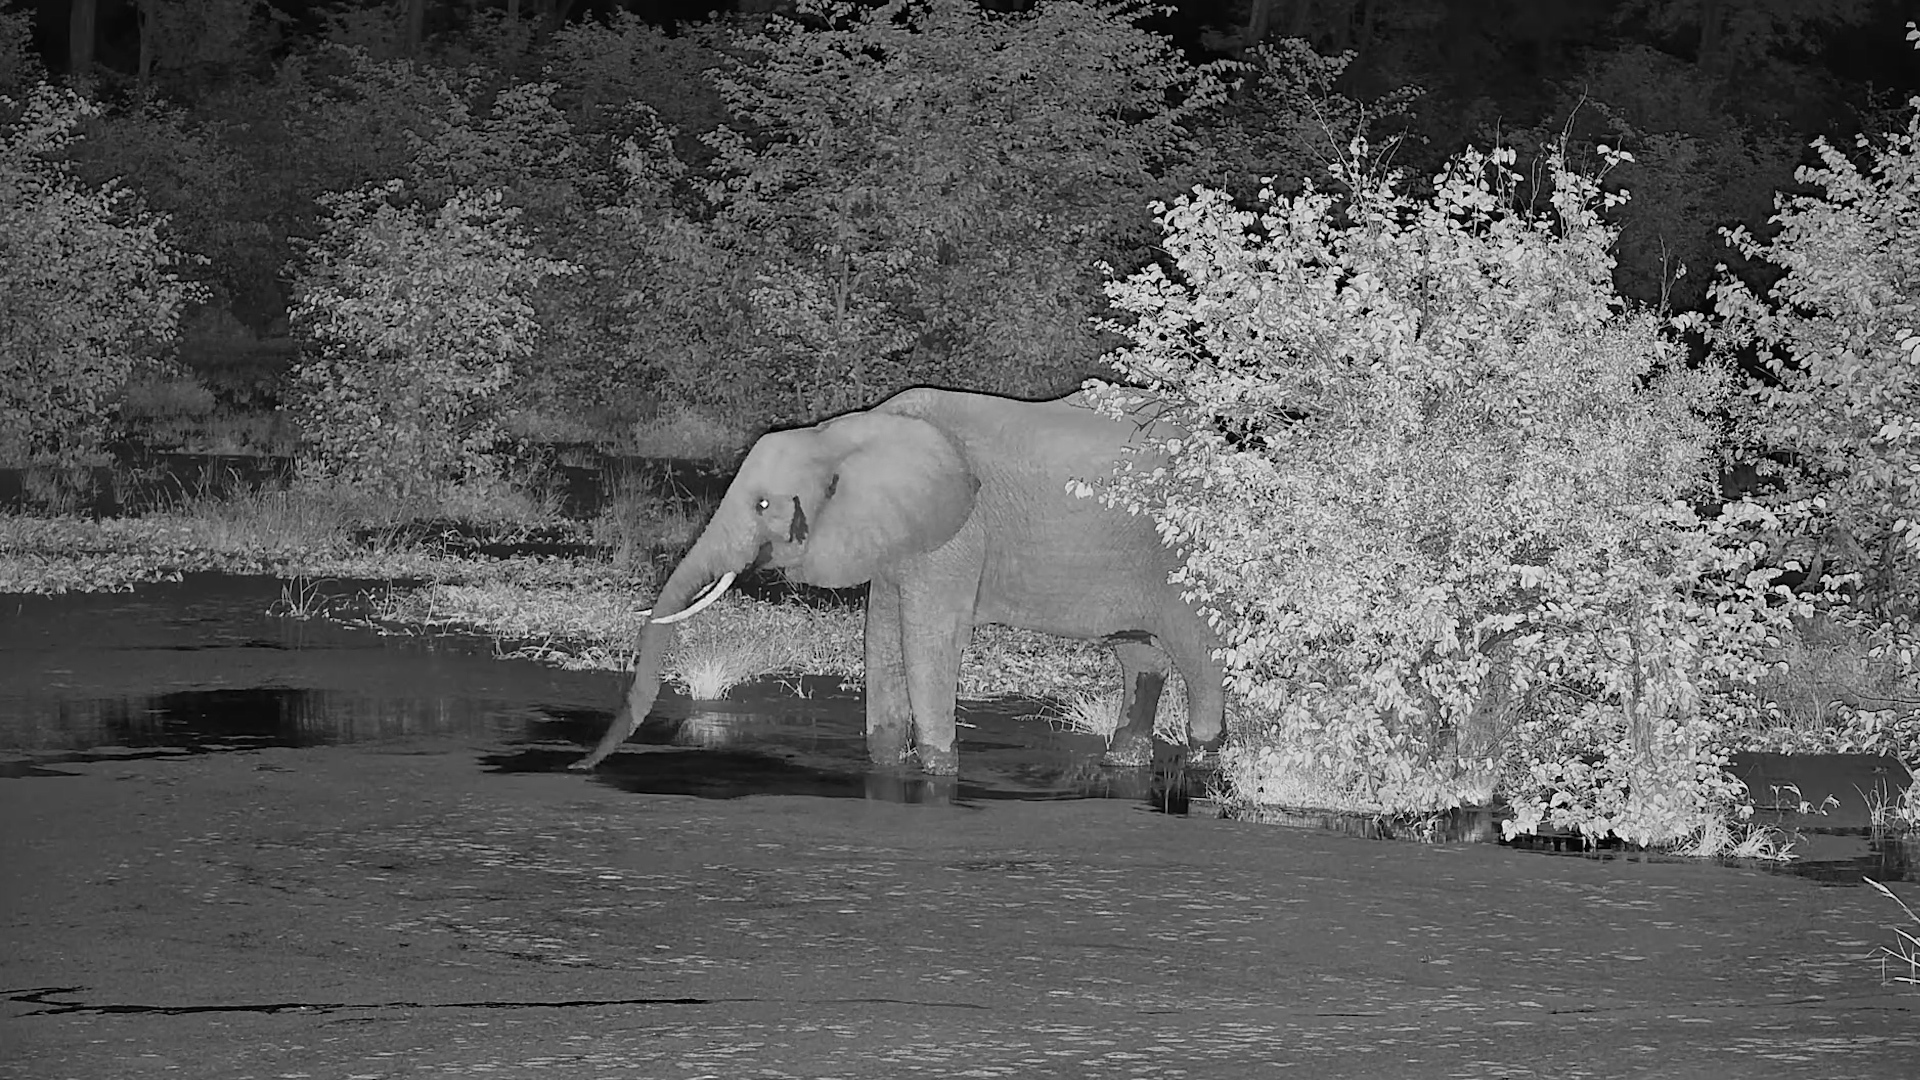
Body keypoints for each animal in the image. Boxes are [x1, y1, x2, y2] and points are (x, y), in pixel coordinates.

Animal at [572, 387, 1225, 775]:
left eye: (761, 504)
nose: (580, 769)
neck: (845, 433)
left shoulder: (957, 532)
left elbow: (928, 639)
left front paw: (937, 772)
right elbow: (881, 634)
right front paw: (887, 764)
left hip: (1182, 552)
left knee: (1196, 646)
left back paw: (1203, 761)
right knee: (1140, 653)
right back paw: (1123, 764)